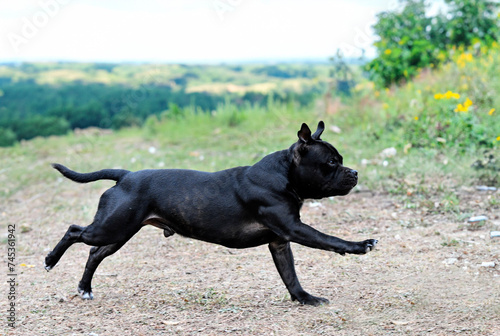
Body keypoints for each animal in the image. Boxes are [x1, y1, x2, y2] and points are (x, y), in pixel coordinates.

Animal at [45, 122, 376, 306]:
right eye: (331, 162)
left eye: (340, 160)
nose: (354, 172)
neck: (285, 174)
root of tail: (125, 176)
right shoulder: (294, 229)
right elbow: (330, 240)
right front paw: (359, 246)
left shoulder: (280, 242)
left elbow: (290, 276)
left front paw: (305, 299)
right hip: (111, 227)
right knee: (74, 231)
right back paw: (50, 260)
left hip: (120, 232)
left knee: (95, 253)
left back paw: (85, 289)